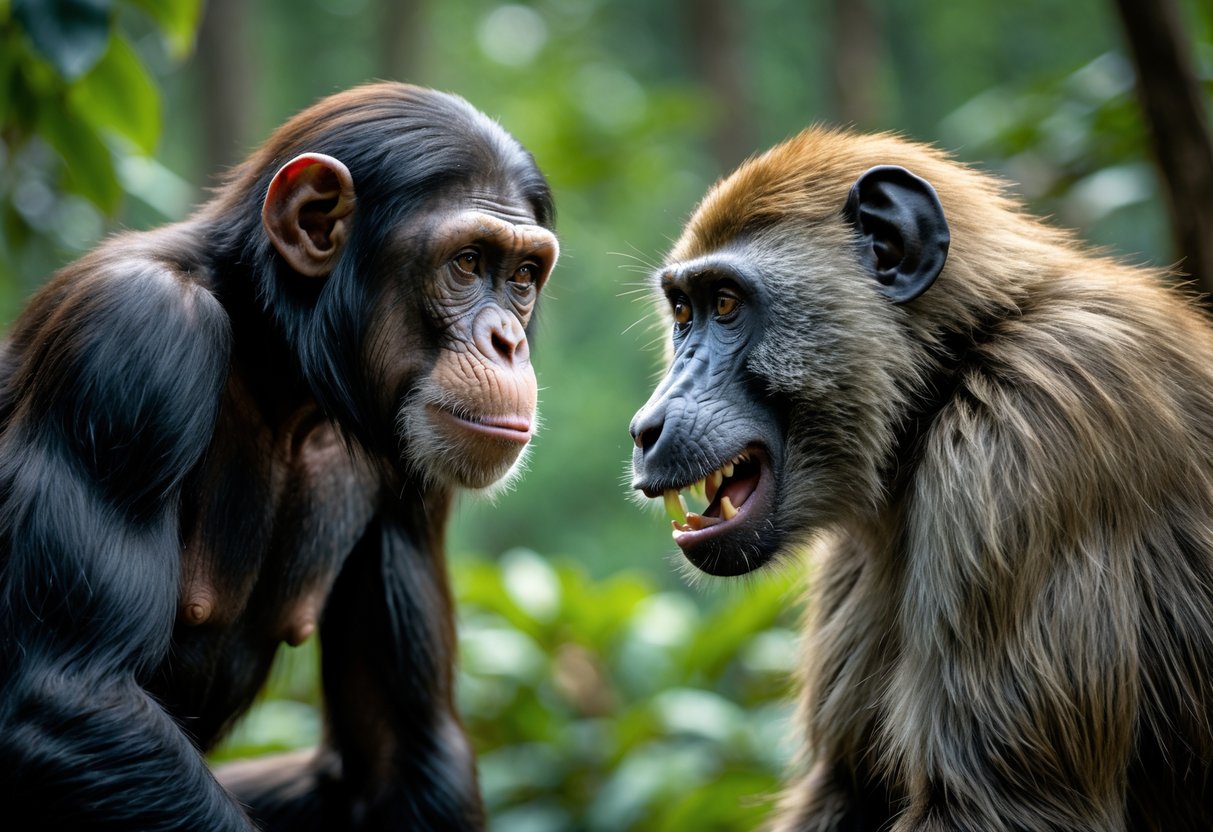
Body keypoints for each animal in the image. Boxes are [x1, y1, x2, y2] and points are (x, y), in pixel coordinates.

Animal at [629, 126, 1213, 831]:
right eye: (682, 311)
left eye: (724, 303)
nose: (647, 427)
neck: (953, 368)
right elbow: (844, 790)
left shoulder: (1031, 441)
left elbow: (1000, 808)